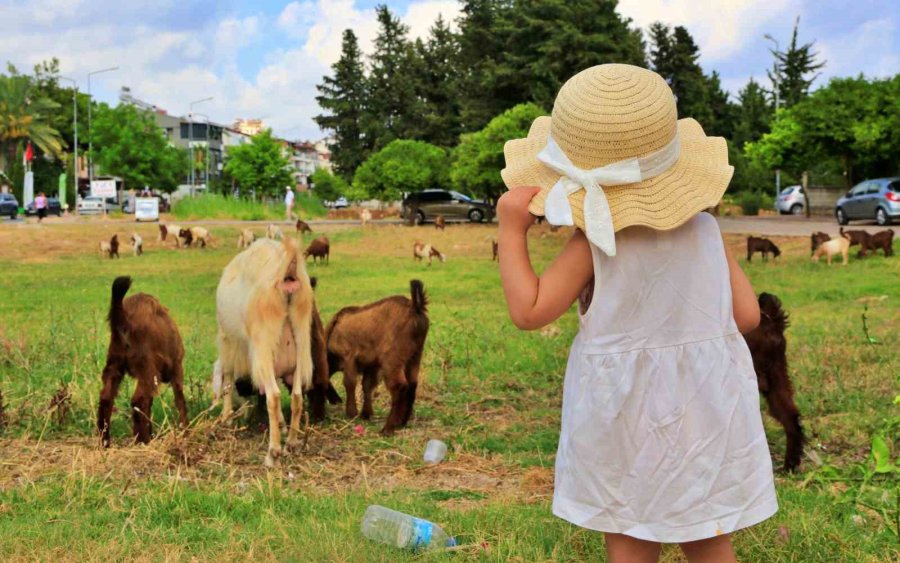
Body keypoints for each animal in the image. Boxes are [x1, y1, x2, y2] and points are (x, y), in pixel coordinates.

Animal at [97, 276, 187, 448]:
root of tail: (125, 318)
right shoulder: (175, 368)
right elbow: (180, 399)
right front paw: (185, 429)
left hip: (115, 364)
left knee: (106, 397)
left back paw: (105, 441)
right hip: (147, 368)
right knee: (138, 401)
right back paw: (142, 441)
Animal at [216, 237, 314, 468]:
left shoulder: (228, 343)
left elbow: (227, 379)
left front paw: (226, 417)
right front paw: (283, 426)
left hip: (262, 345)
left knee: (274, 396)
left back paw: (273, 453)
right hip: (301, 344)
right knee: (297, 396)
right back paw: (292, 443)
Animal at [326, 280, 428, 436]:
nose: (335, 401)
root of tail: (414, 306)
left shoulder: (349, 357)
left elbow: (350, 383)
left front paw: (351, 413)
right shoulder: (372, 365)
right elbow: (367, 385)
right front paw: (365, 414)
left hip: (392, 359)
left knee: (399, 386)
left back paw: (388, 428)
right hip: (415, 356)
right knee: (412, 384)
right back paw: (402, 422)